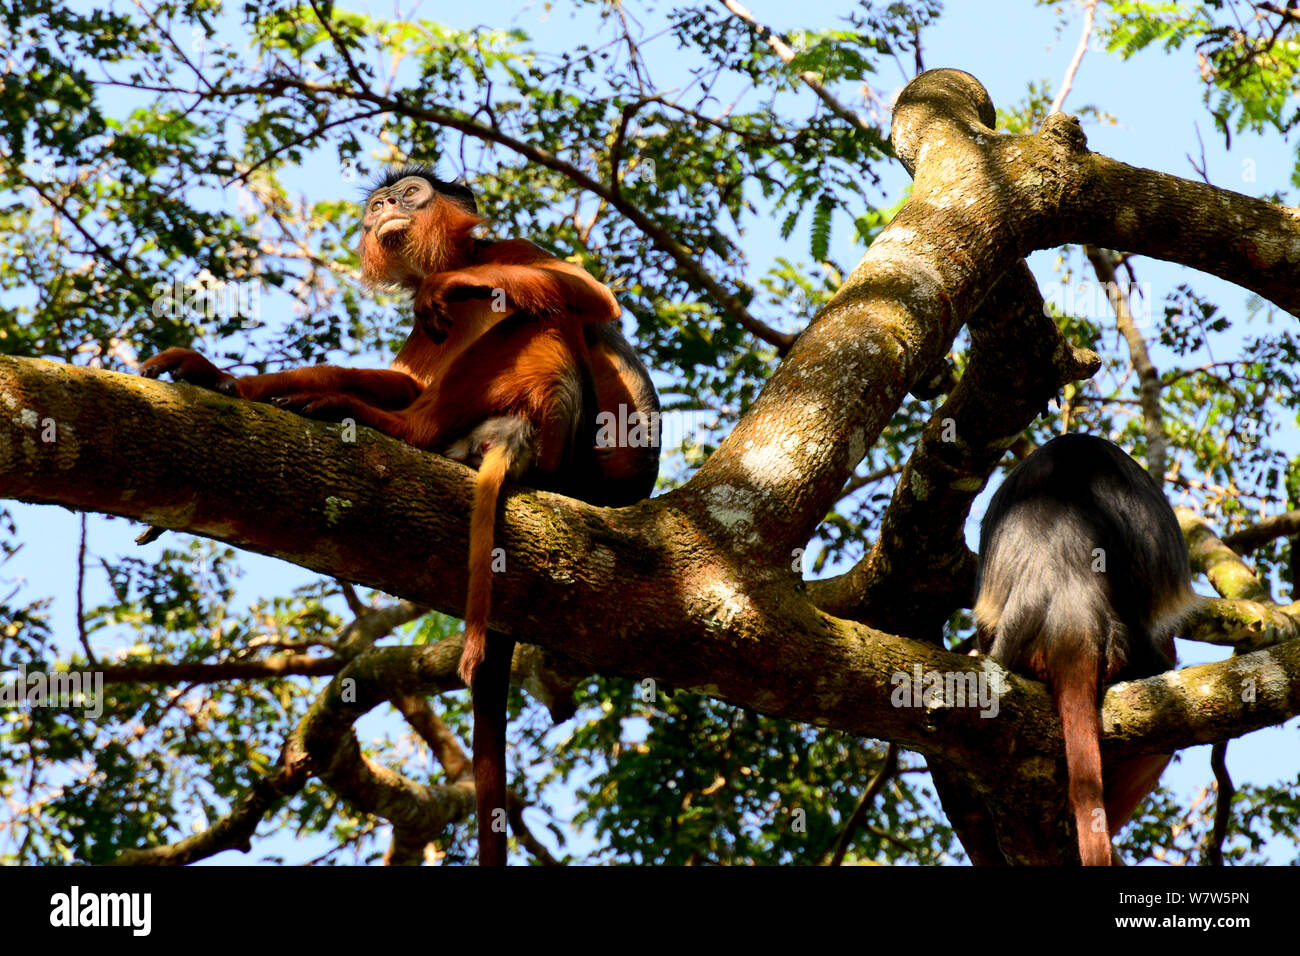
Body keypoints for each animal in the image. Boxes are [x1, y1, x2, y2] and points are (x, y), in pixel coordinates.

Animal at [144, 166, 660, 868]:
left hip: (571, 451)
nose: (388, 204)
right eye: (381, 203)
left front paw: (448, 287)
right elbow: (404, 379)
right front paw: (225, 380)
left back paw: (394, 428)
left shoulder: (510, 253)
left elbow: (596, 299)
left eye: (411, 193)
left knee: (546, 316)